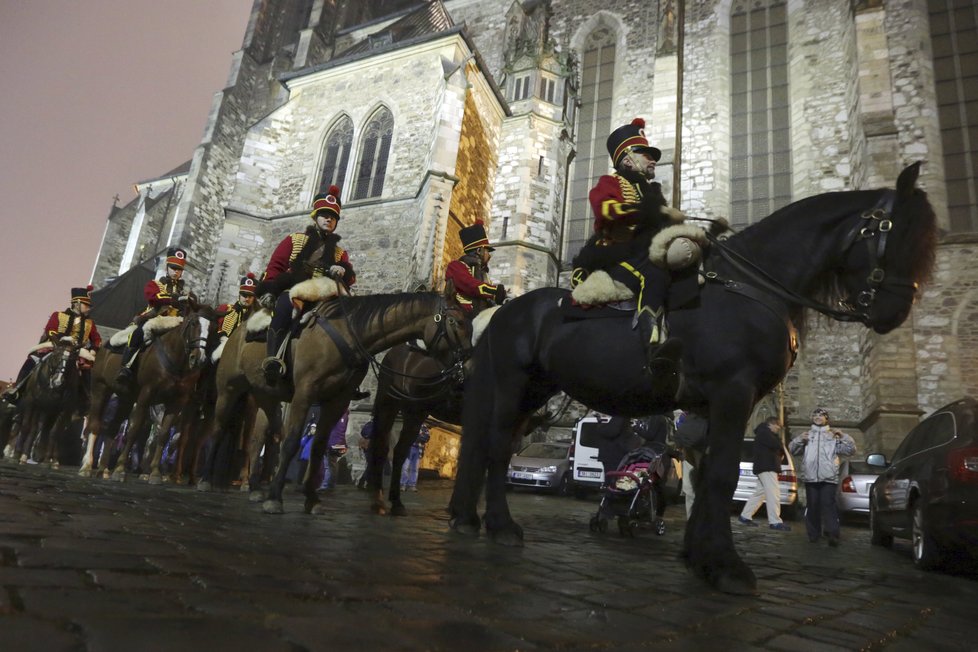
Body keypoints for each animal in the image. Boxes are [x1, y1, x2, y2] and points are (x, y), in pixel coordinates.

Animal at [450, 164, 936, 596]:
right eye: (893, 231)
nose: (894, 313)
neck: (749, 286)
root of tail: (504, 311)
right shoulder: (733, 393)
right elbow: (722, 476)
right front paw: (726, 567)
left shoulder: (708, 407)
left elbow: (704, 479)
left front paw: (698, 556)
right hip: (511, 385)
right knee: (496, 449)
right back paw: (500, 526)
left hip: (533, 392)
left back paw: (471, 519)